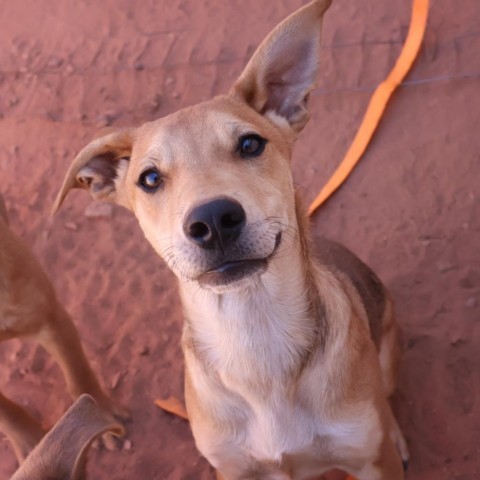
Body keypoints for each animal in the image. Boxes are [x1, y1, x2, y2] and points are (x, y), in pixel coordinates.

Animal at [53, 1, 408, 478]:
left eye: (250, 144)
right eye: (149, 178)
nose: (213, 219)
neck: (255, 340)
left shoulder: (371, 459)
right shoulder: (234, 468)